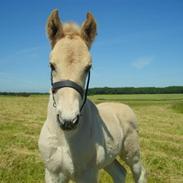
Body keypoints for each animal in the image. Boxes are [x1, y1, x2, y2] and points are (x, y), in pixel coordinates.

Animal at [38, 10, 146, 183]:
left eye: (88, 67)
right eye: (52, 65)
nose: (68, 121)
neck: (65, 138)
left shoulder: (88, 174)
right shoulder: (53, 173)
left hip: (132, 152)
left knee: (139, 172)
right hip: (109, 158)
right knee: (120, 172)